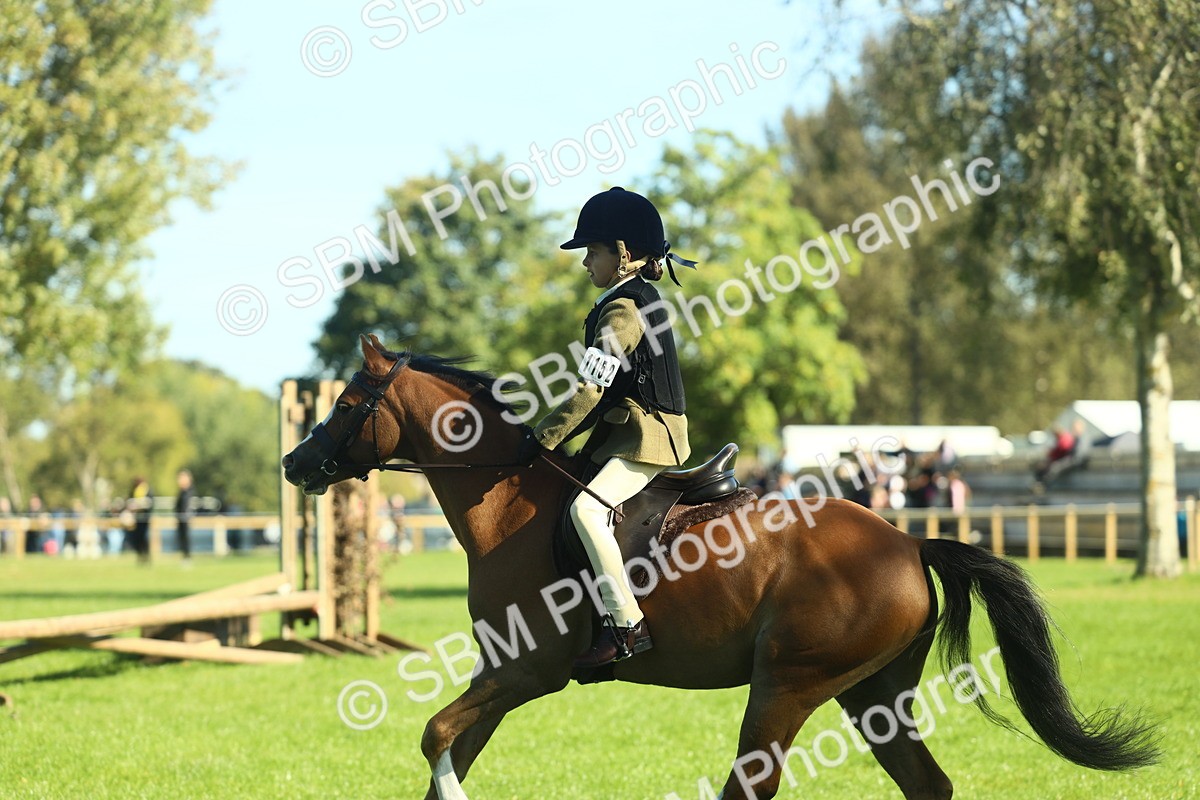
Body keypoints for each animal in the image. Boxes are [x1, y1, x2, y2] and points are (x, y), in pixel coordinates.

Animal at [282, 334, 1158, 800]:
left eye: (347, 403)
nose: (295, 464)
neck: (510, 503)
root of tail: (908, 543)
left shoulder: (532, 672)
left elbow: (436, 734)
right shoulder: (501, 674)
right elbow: (450, 748)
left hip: (787, 687)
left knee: (754, 784)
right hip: (874, 693)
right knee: (927, 785)